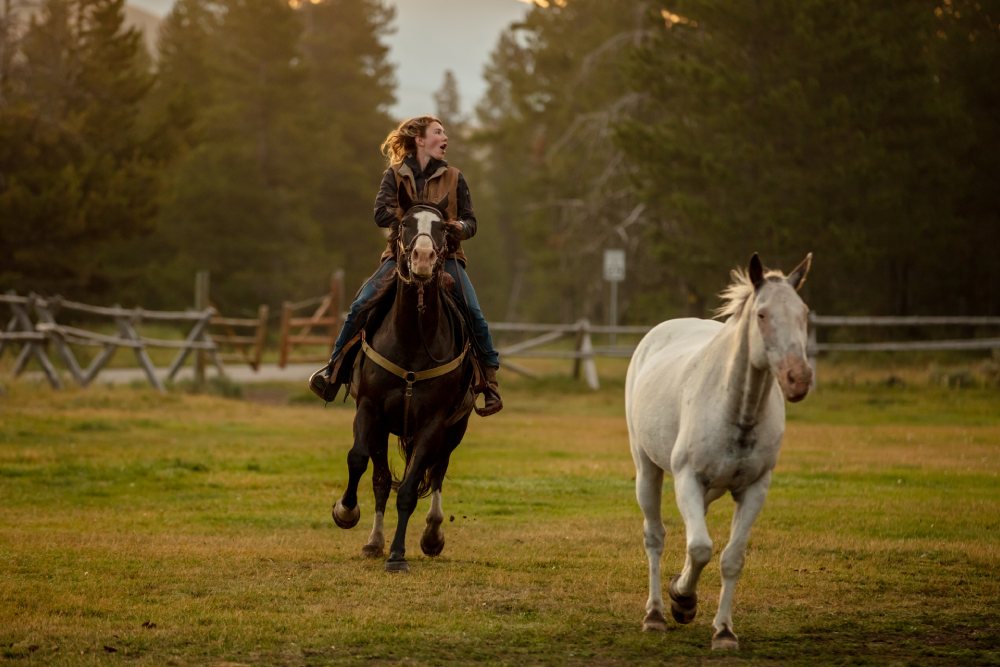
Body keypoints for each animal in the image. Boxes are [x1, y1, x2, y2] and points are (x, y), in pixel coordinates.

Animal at [332, 192, 476, 576]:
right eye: (406, 224)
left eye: (442, 228)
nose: (423, 258)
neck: (412, 339)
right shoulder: (370, 411)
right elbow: (361, 462)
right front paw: (347, 512)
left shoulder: (433, 423)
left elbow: (410, 489)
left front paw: (398, 554)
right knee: (382, 479)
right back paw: (374, 540)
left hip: (454, 430)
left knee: (437, 473)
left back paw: (432, 536)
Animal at [624, 253, 812, 648]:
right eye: (762, 314)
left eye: (804, 313)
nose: (798, 378)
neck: (737, 409)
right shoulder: (687, 479)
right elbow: (700, 547)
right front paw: (682, 602)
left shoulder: (755, 488)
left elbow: (730, 558)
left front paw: (723, 631)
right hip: (647, 469)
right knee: (655, 536)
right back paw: (656, 613)